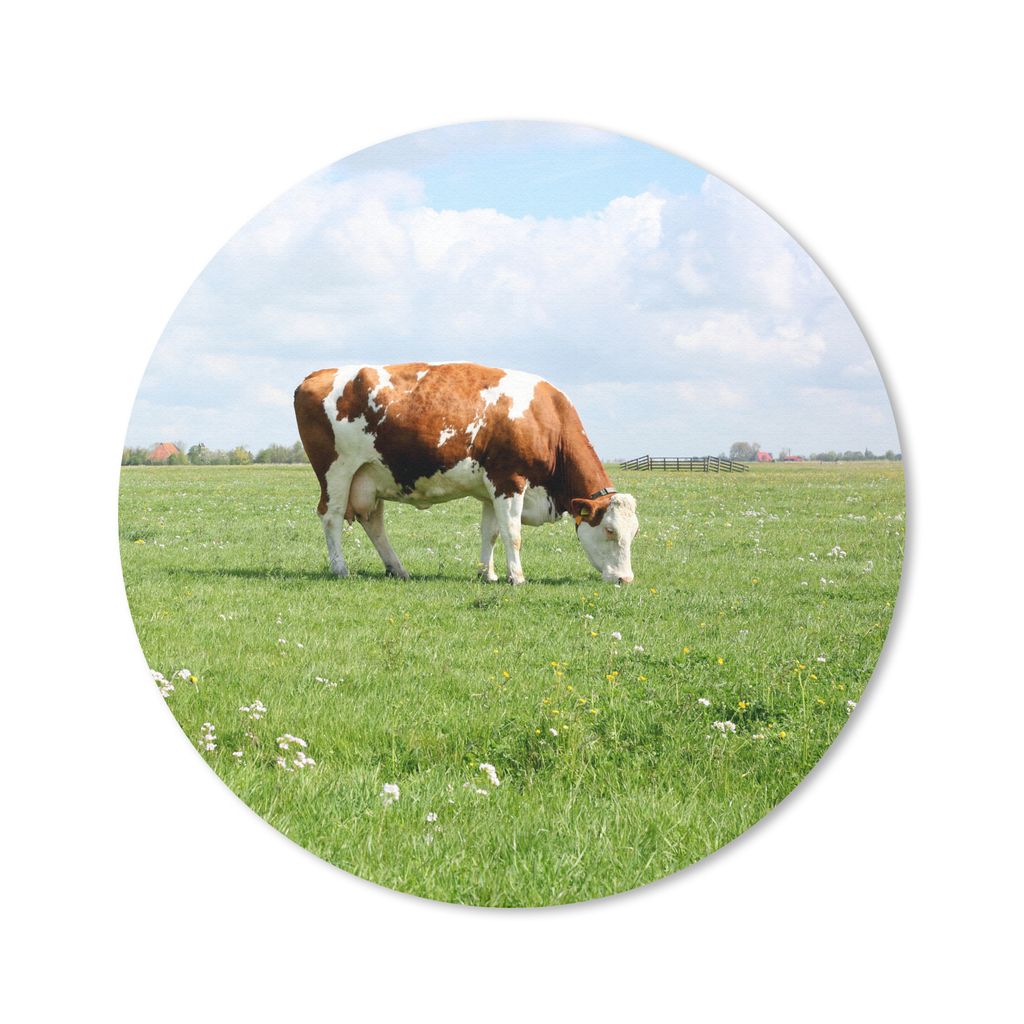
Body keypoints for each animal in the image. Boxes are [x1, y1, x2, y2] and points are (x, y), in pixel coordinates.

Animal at [294, 362, 639, 585]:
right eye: (610, 530)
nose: (625, 579)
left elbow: (491, 532)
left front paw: (488, 573)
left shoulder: (491, 490)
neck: (545, 419)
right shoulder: (509, 480)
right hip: (337, 472)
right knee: (331, 516)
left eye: (633, 532)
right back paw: (341, 569)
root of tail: (317, 375)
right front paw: (517, 577)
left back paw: (397, 568)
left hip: (370, 476)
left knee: (374, 523)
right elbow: (512, 533)